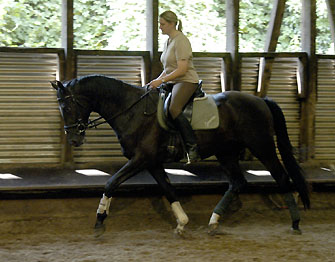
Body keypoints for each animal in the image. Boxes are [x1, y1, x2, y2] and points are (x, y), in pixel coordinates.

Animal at [51, 74, 312, 235]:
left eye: (68, 106)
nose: (74, 139)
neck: (132, 111)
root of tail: (261, 100)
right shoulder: (152, 162)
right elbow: (168, 190)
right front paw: (182, 223)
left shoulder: (141, 159)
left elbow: (111, 182)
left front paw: (99, 219)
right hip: (226, 153)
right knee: (238, 182)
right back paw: (213, 222)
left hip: (262, 147)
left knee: (282, 177)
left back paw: (296, 222)